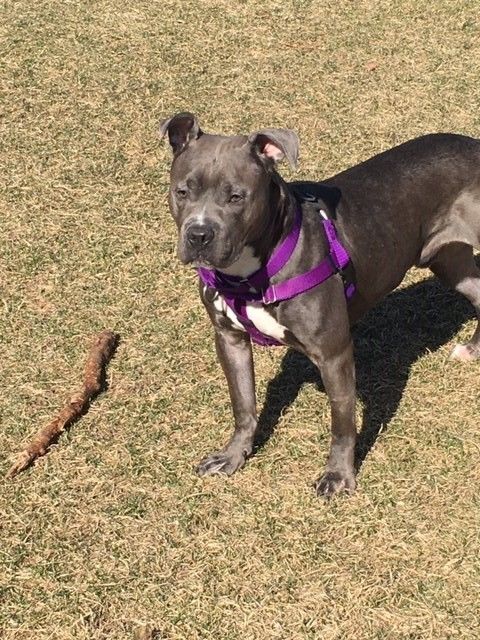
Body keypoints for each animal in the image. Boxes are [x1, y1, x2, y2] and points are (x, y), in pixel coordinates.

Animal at [159, 112, 478, 498]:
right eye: (182, 192)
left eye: (236, 197)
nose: (199, 234)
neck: (250, 273)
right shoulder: (229, 339)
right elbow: (243, 404)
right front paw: (234, 455)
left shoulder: (334, 354)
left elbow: (342, 423)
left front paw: (339, 476)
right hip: (449, 262)